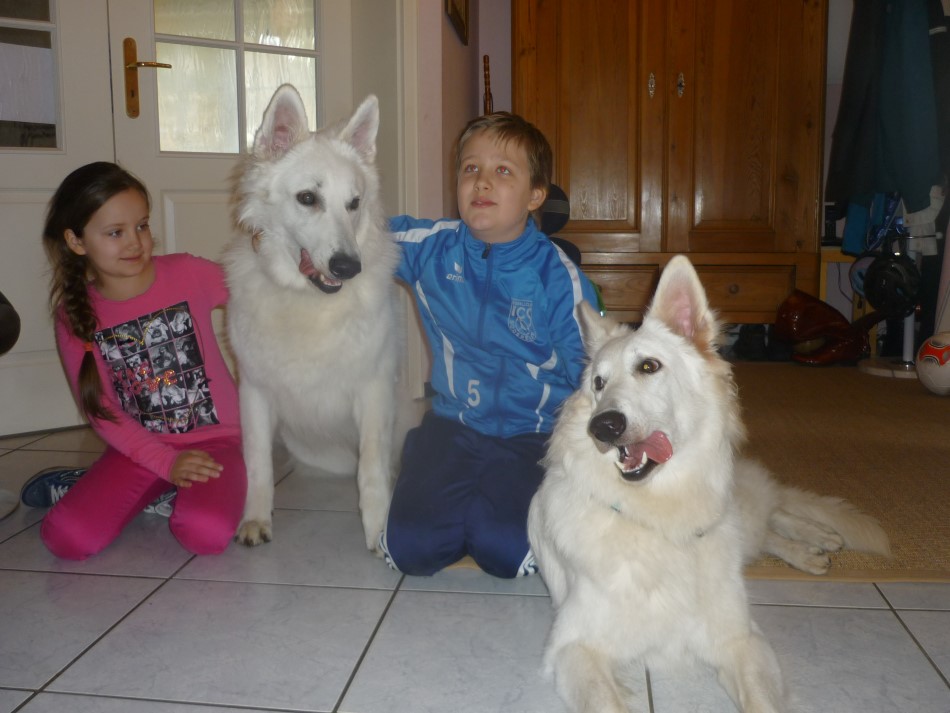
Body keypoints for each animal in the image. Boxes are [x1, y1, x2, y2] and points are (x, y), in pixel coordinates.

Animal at [224, 85, 404, 551]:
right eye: (308, 198)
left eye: (354, 204)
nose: (347, 267)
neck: (307, 302)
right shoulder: (254, 392)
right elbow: (257, 463)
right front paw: (255, 517)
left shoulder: (374, 392)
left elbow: (372, 469)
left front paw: (379, 531)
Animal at [527, 255, 890, 713]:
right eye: (598, 383)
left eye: (649, 366)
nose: (603, 427)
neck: (660, 517)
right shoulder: (574, 647)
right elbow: (605, 701)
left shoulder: (740, 639)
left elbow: (762, 702)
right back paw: (811, 549)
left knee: (772, 514)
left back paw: (817, 538)